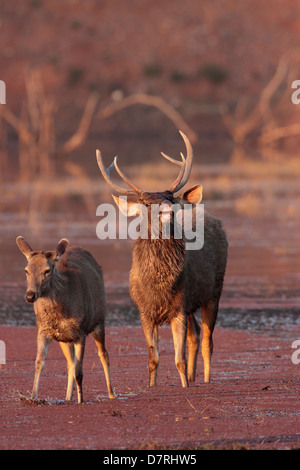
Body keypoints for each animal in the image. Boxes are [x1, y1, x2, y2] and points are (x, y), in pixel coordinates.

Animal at [16, 237, 116, 402]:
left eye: (47, 270)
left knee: (103, 355)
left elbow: (80, 371)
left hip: (99, 321)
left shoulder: (80, 332)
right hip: (64, 338)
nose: (30, 295)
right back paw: (68, 398)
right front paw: (32, 397)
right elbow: (38, 364)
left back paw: (111, 394)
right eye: (26, 270)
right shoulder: (43, 331)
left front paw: (81, 401)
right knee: (70, 363)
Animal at [96, 130, 227, 388]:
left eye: (171, 199)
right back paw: (195, 377)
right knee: (196, 336)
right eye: (147, 203)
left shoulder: (179, 308)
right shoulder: (144, 311)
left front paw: (184, 385)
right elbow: (153, 358)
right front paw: (152, 386)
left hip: (214, 291)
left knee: (208, 341)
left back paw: (206, 380)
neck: (159, 287)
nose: (167, 212)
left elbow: (179, 359)